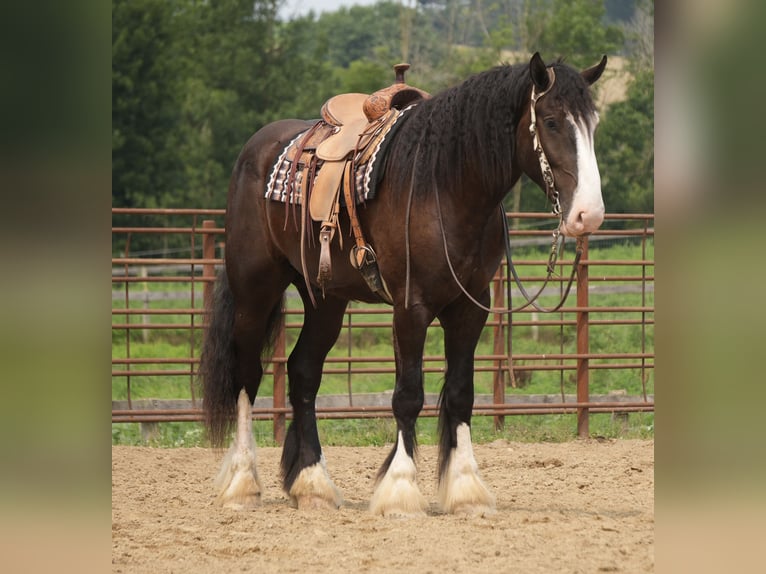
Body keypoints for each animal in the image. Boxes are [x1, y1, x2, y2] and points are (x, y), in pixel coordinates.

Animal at [200, 52, 607, 516]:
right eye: (552, 121)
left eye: (593, 123)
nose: (589, 214)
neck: (446, 184)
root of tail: (255, 148)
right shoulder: (411, 307)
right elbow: (408, 395)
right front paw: (400, 490)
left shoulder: (471, 307)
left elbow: (461, 394)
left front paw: (466, 490)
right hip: (255, 289)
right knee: (247, 374)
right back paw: (242, 483)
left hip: (325, 300)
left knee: (303, 372)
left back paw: (312, 484)